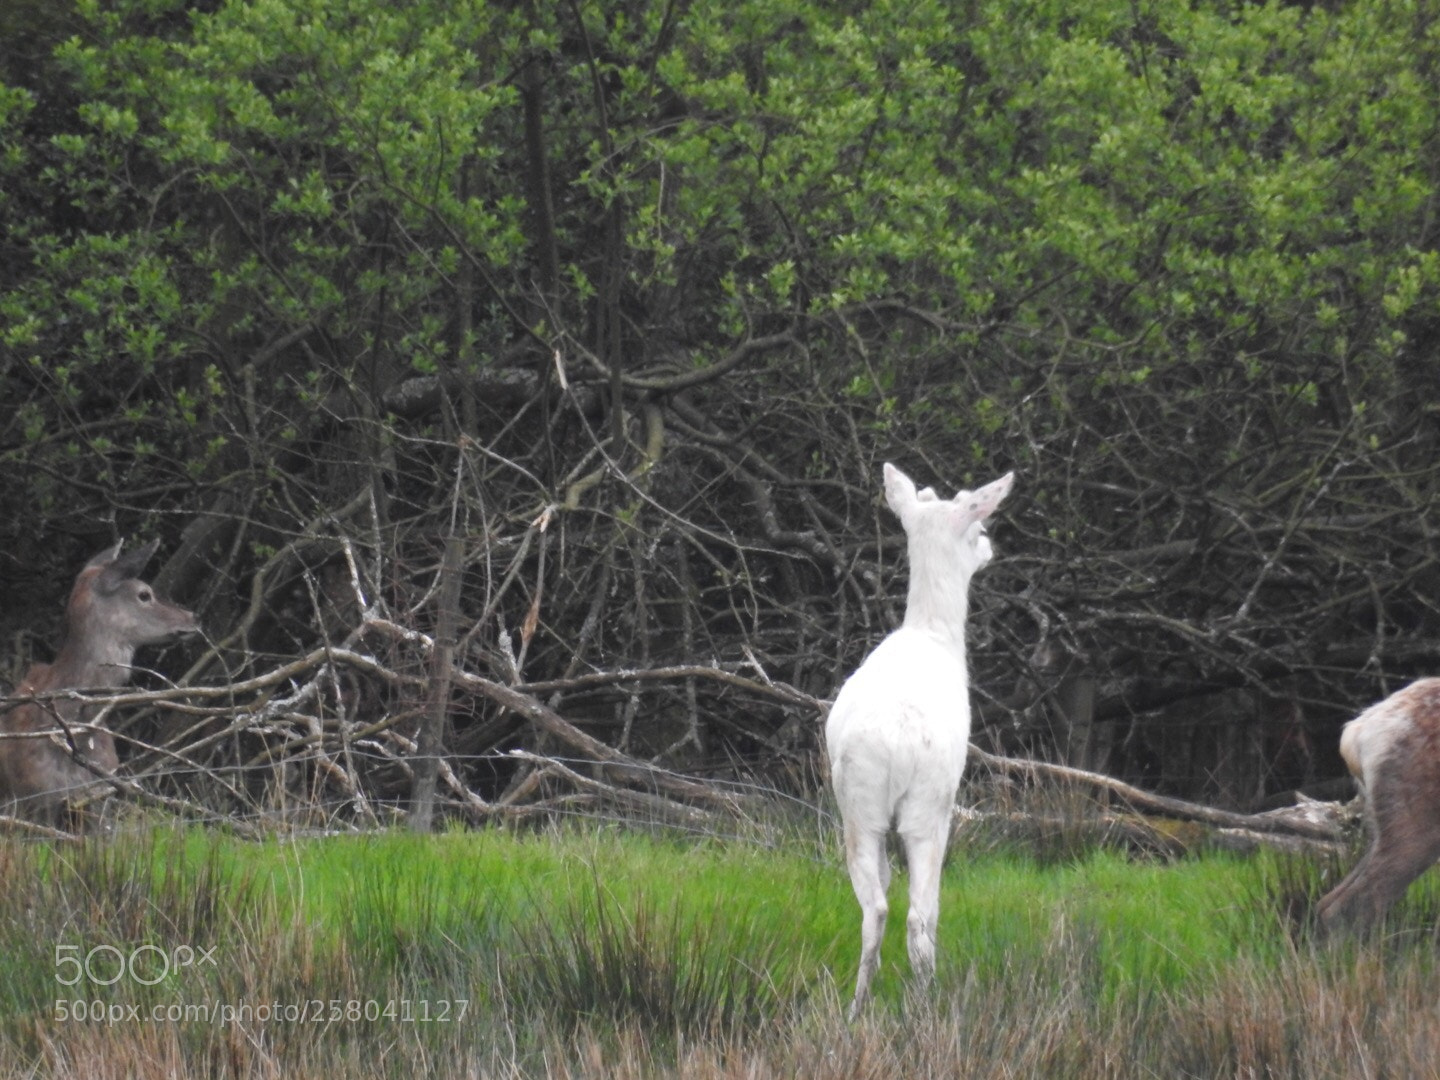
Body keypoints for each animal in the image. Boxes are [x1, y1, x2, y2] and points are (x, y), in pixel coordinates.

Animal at [826, 462, 1014, 1019]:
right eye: (977, 527)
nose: (990, 545)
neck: (934, 634)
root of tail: (897, 739)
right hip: (929, 804)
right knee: (919, 916)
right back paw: (929, 1002)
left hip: (856, 805)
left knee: (875, 907)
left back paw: (856, 1008)